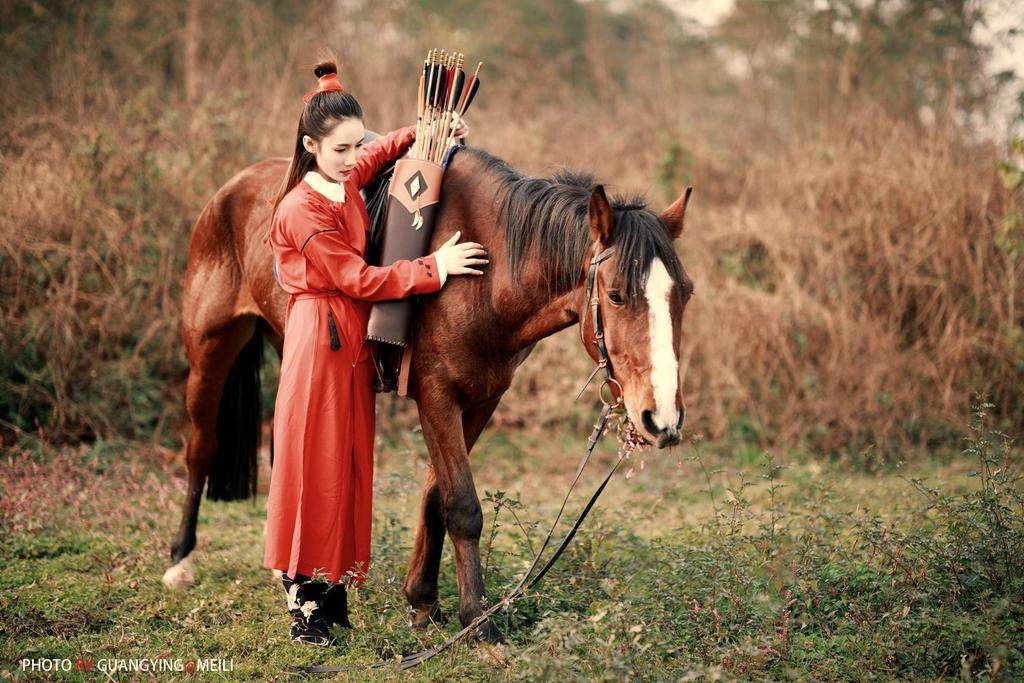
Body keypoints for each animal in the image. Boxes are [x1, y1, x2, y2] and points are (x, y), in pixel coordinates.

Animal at [163, 145, 692, 647]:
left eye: (684, 293)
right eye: (617, 295)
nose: (662, 419)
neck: (490, 270)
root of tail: (232, 187)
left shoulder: (481, 397)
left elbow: (437, 497)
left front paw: (423, 603)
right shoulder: (437, 395)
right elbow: (463, 506)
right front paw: (478, 622)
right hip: (209, 351)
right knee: (201, 447)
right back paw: (181, 561)